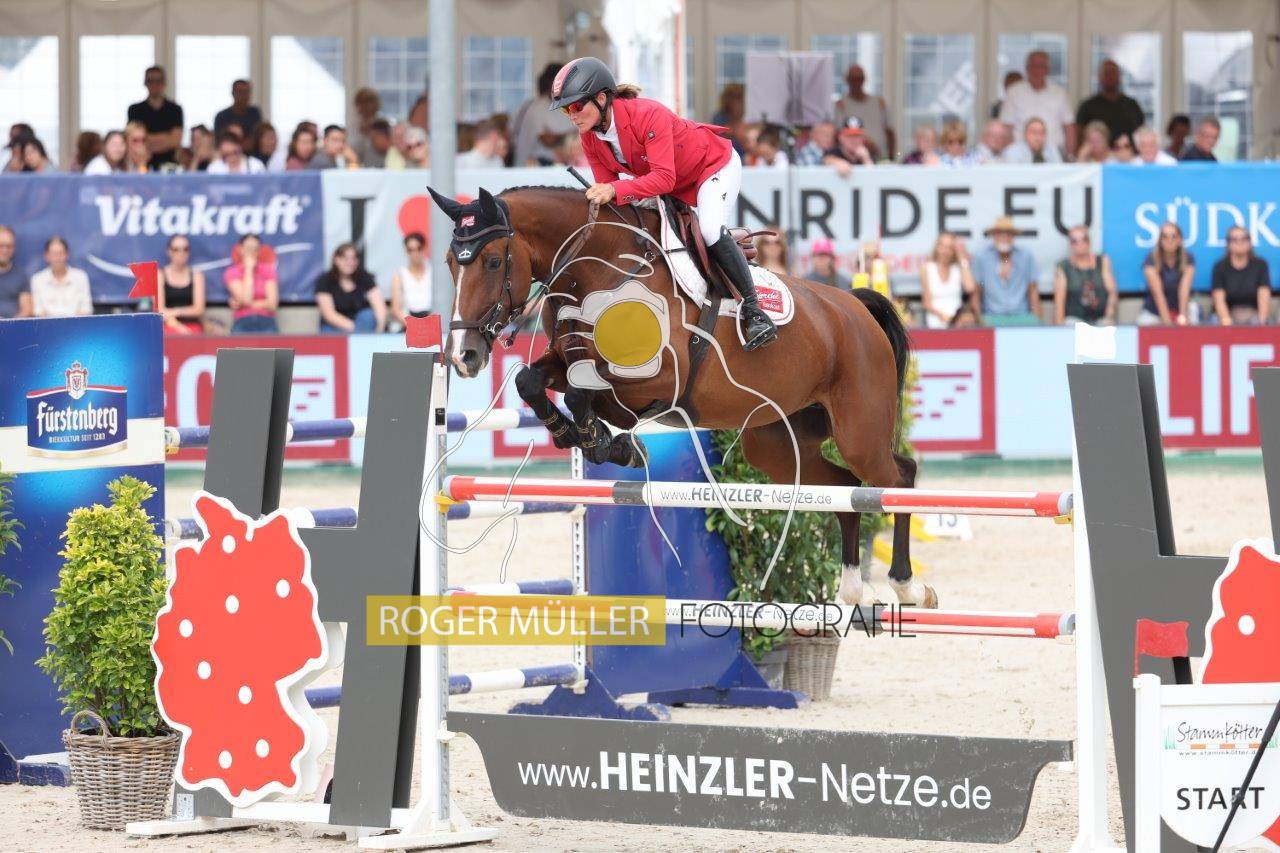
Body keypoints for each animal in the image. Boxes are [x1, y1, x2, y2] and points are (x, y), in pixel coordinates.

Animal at [427, 185, 934, 609]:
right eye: (451, 262)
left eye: (493, 261)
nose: (463, 355)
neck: (599, 269)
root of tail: (855, 308)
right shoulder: (566, 357)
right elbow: (534, 383)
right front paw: (591, 439)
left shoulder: (659, 381)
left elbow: (586, 393)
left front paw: (609, 442)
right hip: (779, 443)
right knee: (847, 490)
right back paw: (852, 588)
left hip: (859, 430)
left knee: (896, 477)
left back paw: (908, 585)